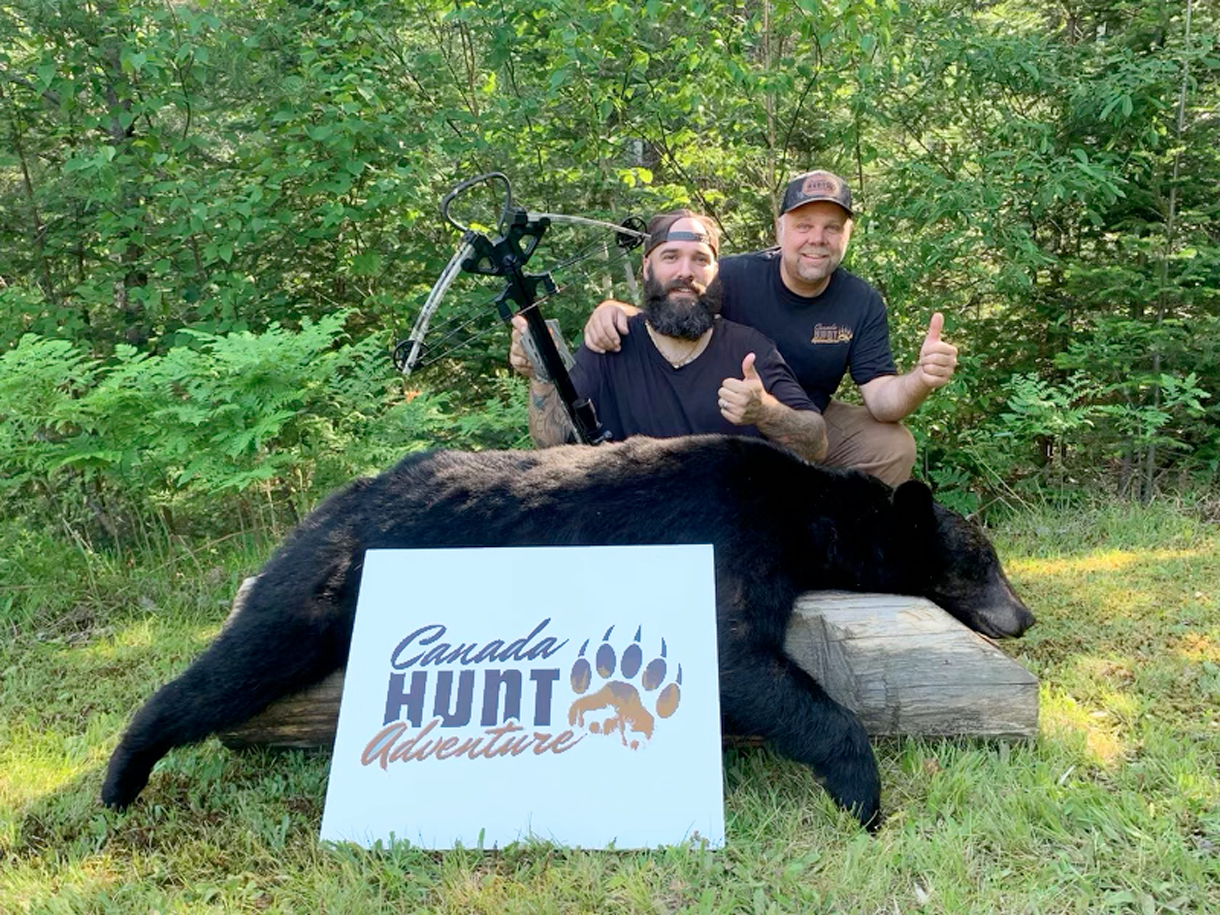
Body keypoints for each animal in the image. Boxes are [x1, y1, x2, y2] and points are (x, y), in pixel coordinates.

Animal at [100, 434, 1034, 829]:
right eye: (982, 562)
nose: (1023, 615)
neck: (802, 508)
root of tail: (331, 499)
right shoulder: (723, 529)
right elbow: (734, 657)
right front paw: (864, 793)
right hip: (328, 580)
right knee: (241, 659)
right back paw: (121, 775)